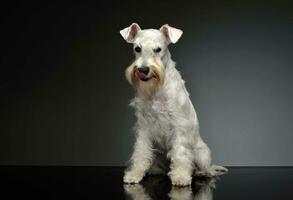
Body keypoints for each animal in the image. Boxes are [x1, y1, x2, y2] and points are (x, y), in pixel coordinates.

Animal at [120, 23, 227, 186]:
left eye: (158, 49)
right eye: (137, 48)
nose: (143, 70)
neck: (156, 90)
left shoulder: (178, 126)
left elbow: (180, 153)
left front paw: (181, 176)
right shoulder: (144, 127)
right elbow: (141, 151)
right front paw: (135, 174)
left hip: (201, 154)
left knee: (208, 169)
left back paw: (202, 172)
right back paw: (155, 170)